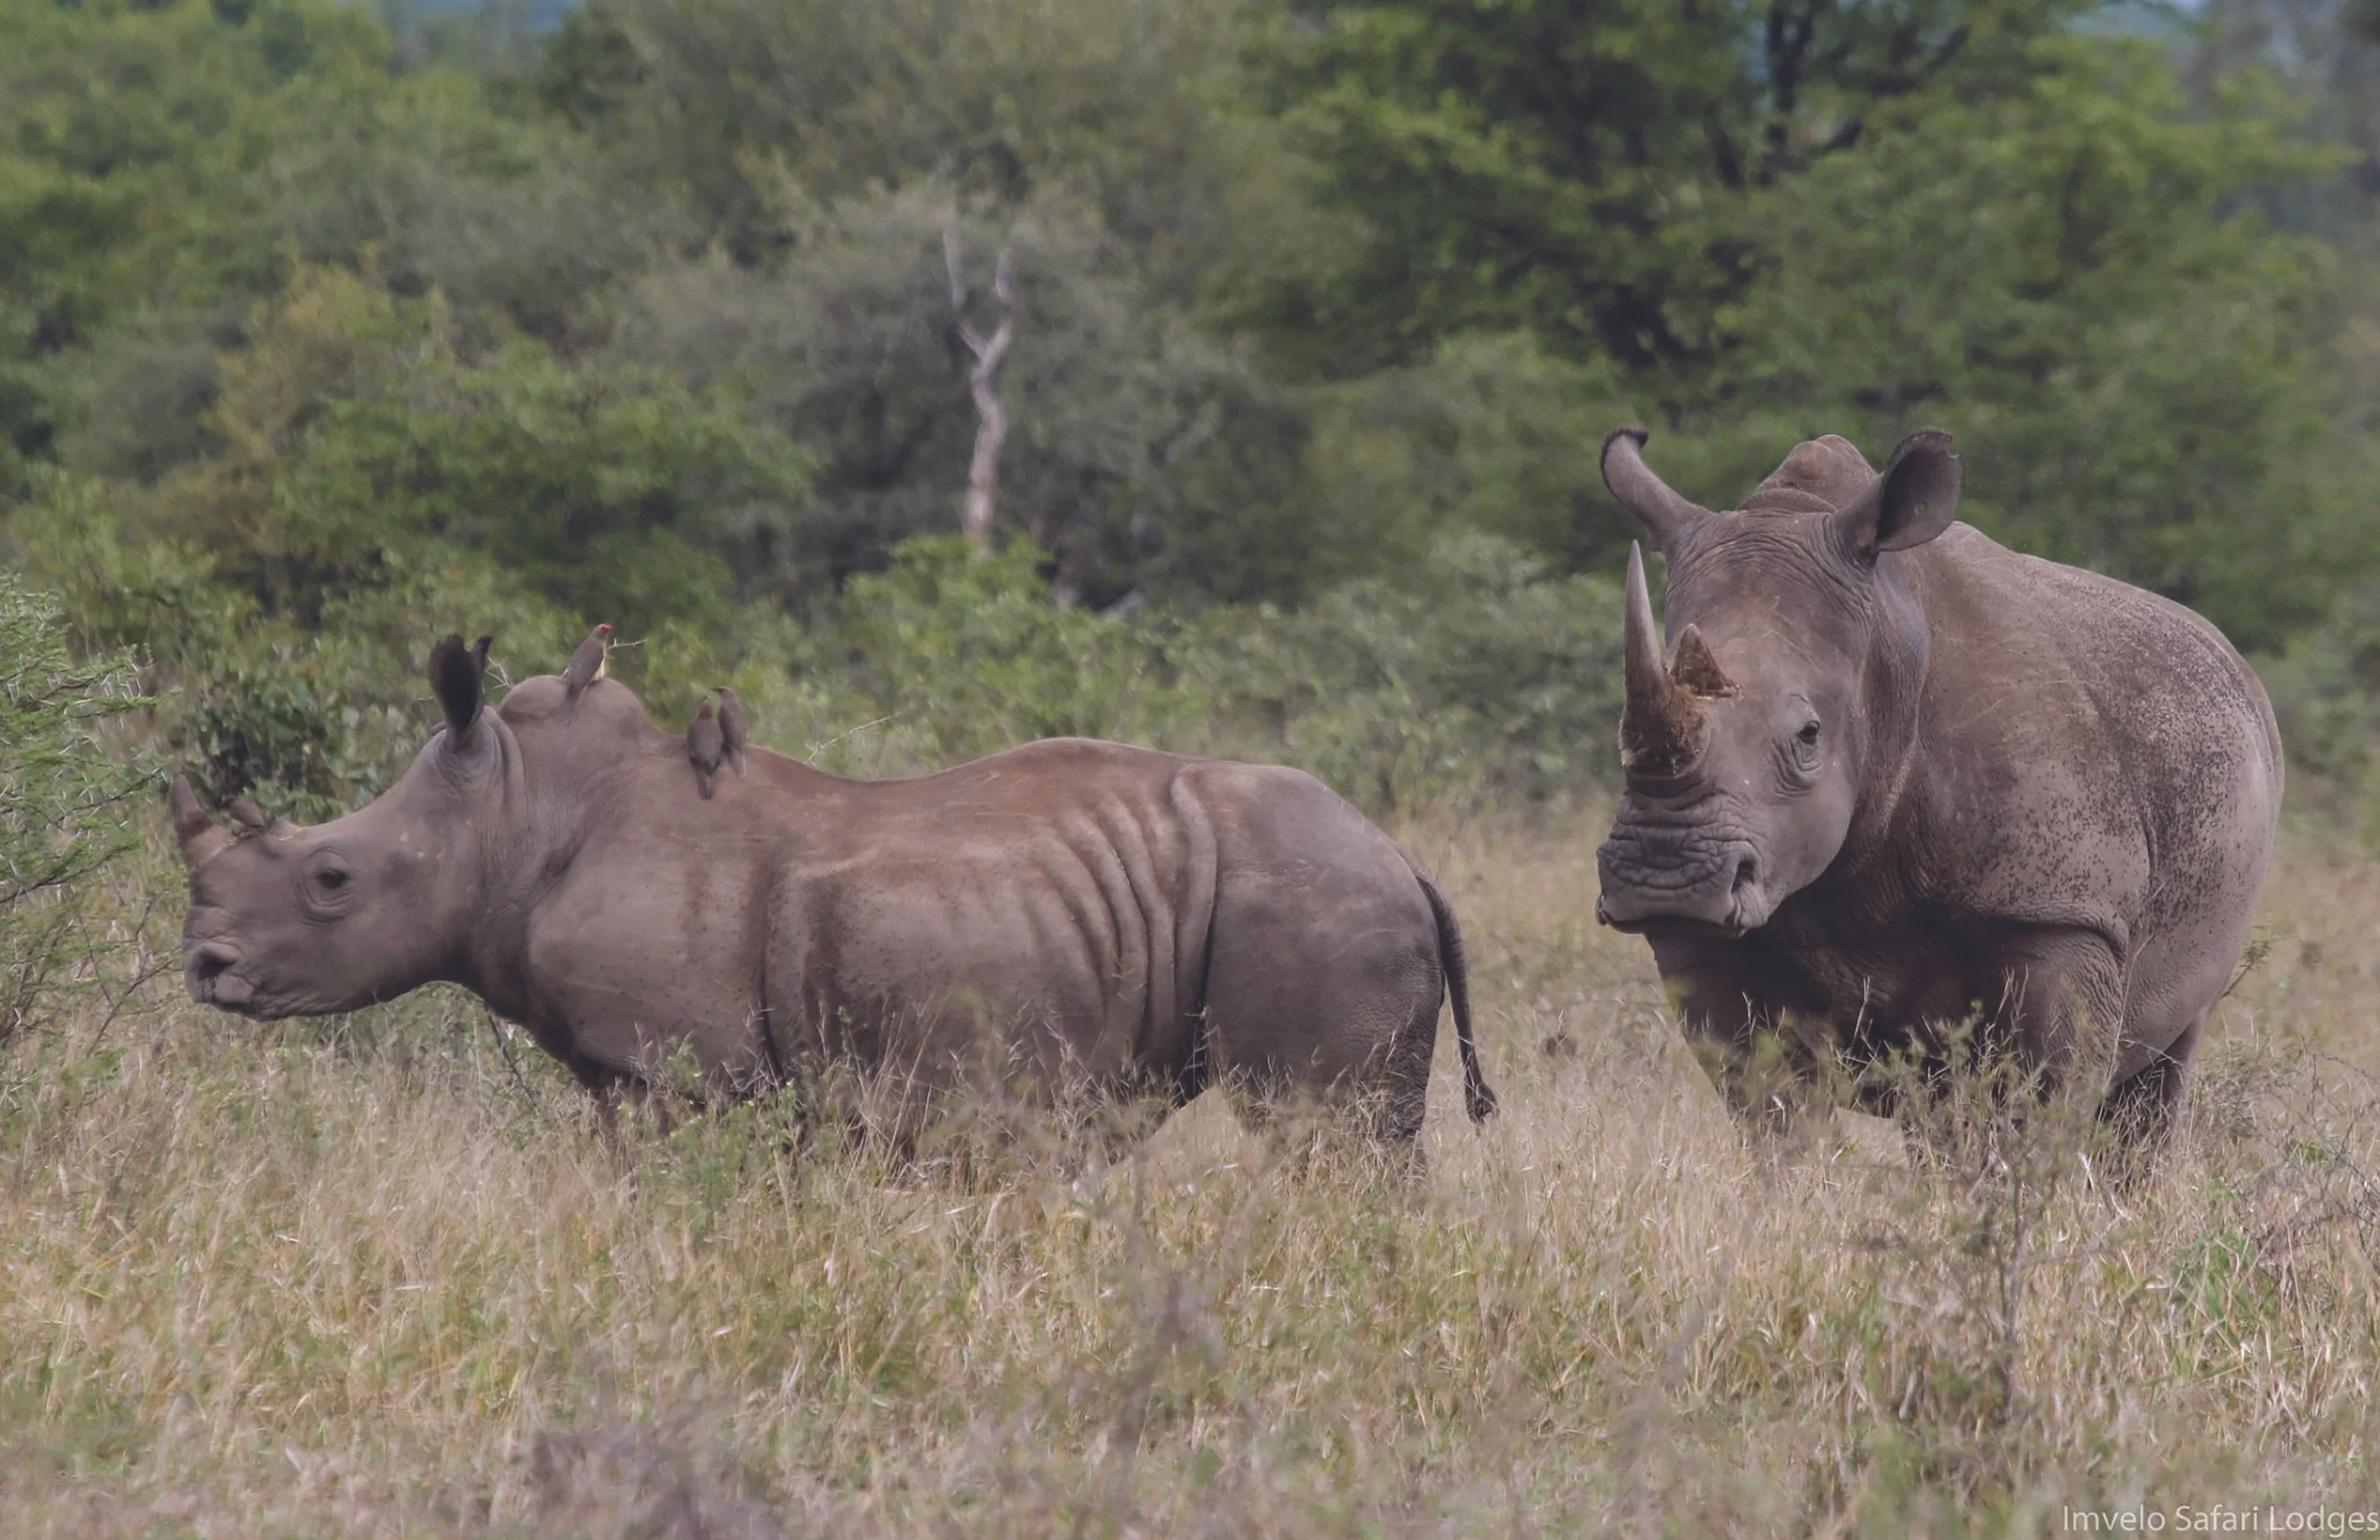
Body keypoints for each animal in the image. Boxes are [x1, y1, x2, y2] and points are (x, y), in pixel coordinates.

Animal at [172, 636, 1496, 1150]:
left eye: (330, 877)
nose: (206, 968)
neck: (517, 818)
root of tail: (1401, 856)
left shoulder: (677, 1069)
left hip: (1312, 900)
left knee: (1323, 1142)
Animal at [1593, 428, 2281, 1163]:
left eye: (1808, 736)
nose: (1666, 877)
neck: (1888, 650)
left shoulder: (2059, 913)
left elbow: (2040, 1105)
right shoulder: (1710, 939)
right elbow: (1775, 1112)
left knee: (2155, 1076)